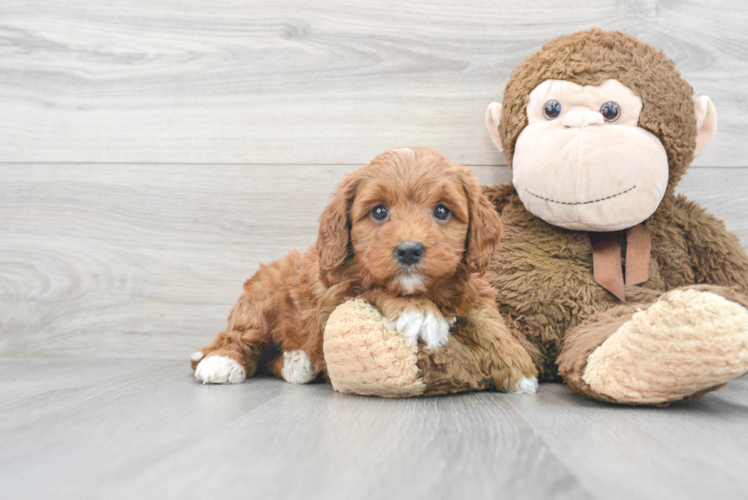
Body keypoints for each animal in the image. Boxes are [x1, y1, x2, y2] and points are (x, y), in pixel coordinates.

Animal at [188, 146, 536, 392]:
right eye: (379, 212)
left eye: (441, 211)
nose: (409, 250)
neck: (429, 289)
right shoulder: (336, 296)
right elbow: (375, 286)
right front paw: (421, 314)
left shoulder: (473, 290)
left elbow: (488, 321)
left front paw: (518, 365)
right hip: (263, 295)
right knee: (240, 337)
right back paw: (221, 362)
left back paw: (297, 363)